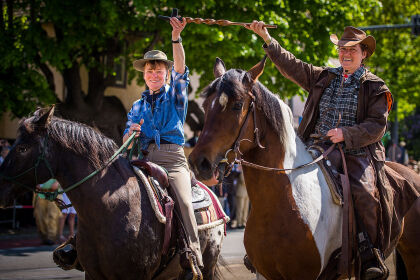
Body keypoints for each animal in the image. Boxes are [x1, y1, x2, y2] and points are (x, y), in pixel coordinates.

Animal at [189, 57, 420, 280]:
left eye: (237, 105)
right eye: (206, 105)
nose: (199, 162)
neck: (285, 199)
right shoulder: (265, 274)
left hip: (413, 257)